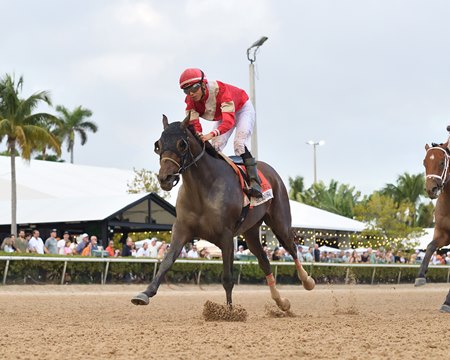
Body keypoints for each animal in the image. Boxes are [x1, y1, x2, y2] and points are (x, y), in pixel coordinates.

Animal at [130, 114, 314, 310]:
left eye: (182, 144)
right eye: (158, 145)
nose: (165, 178)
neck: (203, 189)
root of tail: (272, 172)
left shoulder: (226, 236)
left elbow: (227, 278)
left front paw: (229, 311)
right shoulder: (181, 229)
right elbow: (166, 262)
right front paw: (145, 293)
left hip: (280, 221)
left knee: (292, 247)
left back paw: (307, 281)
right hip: (251, 232)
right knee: (264, 260)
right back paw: (281, 301)